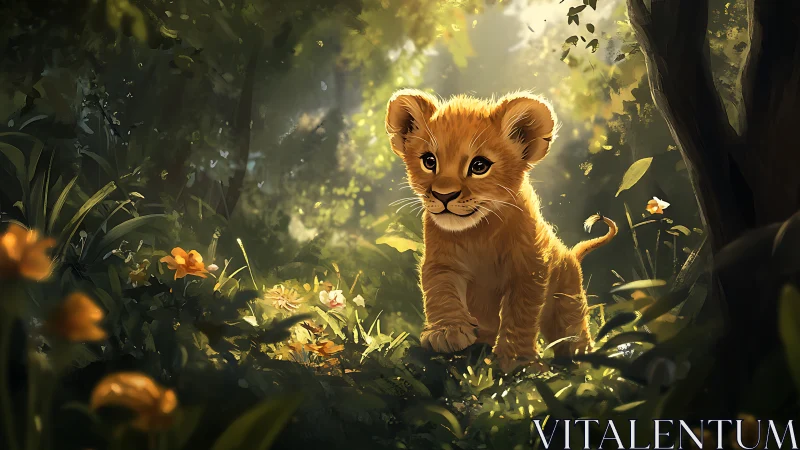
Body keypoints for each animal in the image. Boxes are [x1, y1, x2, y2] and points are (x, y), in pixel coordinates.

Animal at [384, 89, 617, 372]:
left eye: (479, 166)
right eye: (429, 161)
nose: (443, 195)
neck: (479, 232)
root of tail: (570, 254)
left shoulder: (529, 269)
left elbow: (520, 312)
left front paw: (516, 359)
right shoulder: (441, 262)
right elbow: (441, 292)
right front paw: (446, 332)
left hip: (568, 298)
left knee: (572, 329)